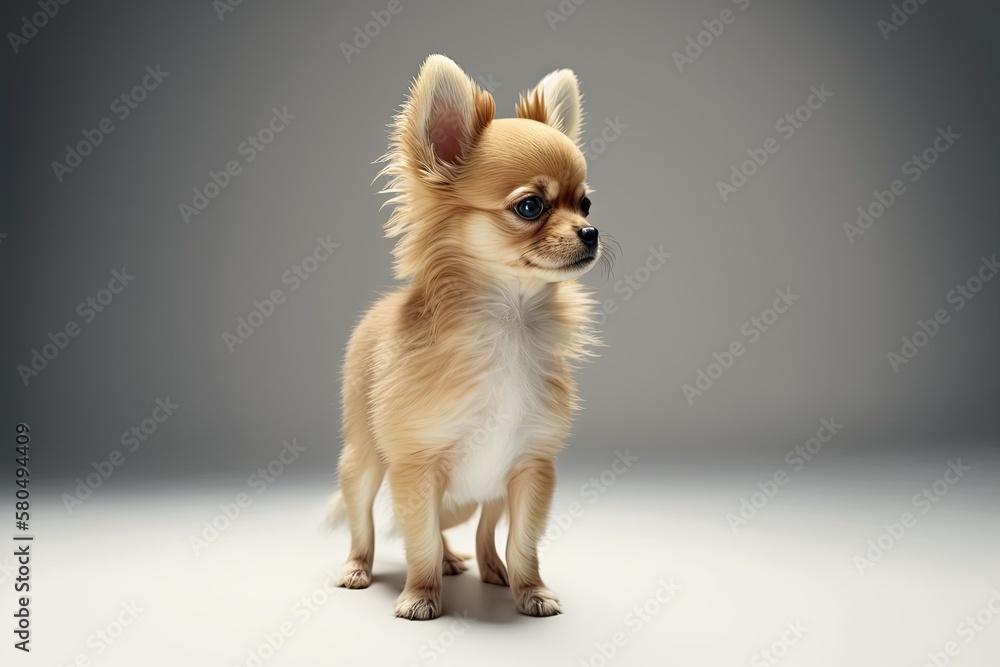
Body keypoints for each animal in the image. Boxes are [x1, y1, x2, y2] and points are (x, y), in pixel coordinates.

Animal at [332, 56, 604, 620]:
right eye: (531, 207)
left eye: (586, 204)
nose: (592, 233)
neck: (509, 323)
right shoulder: (415, 469)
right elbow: (416, 541)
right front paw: (421, 594)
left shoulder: (529, 468)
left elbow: (521, 541)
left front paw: (530, 589)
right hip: (363, 462)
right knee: (365, 522)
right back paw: (358, 568)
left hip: (481, 491)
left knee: (478, 532)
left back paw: (482, 567)